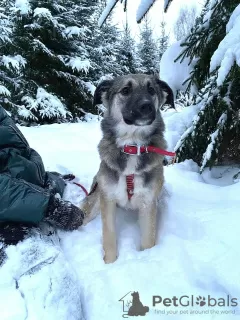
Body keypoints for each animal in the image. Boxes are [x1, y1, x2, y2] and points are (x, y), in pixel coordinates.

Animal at [80, 74, 174, 262]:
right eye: (125, 90)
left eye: (151, 90)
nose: (147, 106)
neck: (132, 145)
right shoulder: (108, 199)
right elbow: (109, 236)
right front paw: (110, 262)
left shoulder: (148, 202)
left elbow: (148, 240)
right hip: (96, 198)